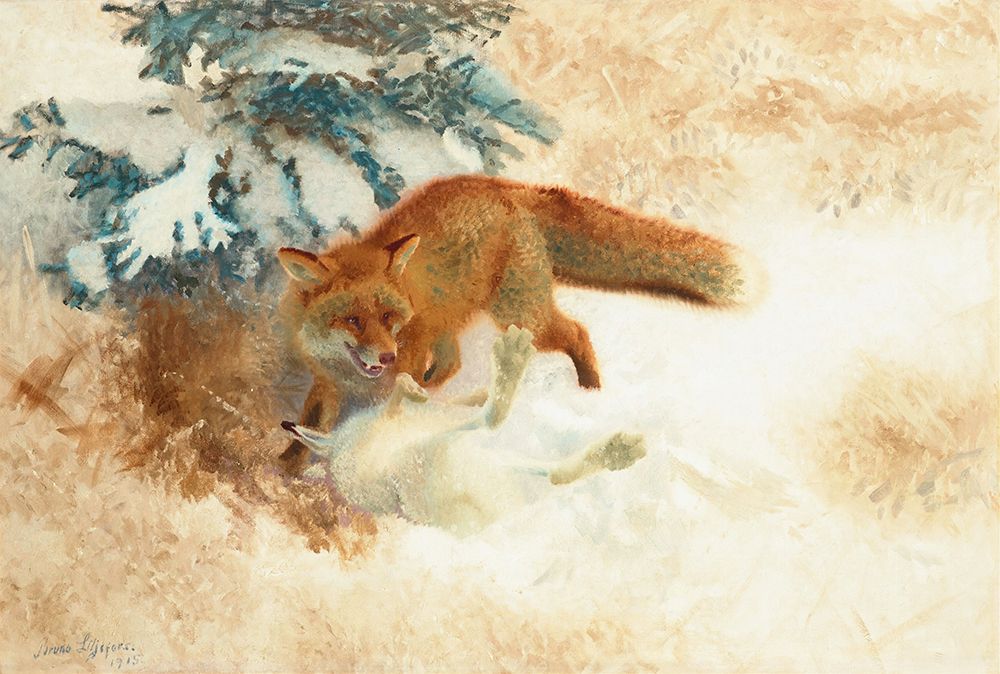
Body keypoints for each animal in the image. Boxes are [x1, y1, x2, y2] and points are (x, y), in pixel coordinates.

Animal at [276, 174, 753, 474]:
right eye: (353, 319)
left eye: (389, 317)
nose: (387, 356)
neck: (350, 373)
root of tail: (507, 186)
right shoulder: (328, 383)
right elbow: (309, 425)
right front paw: (285, 467)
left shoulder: (397, 370)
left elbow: (383, 420)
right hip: (455, 323)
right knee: (451, 364)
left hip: (522, 317)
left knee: (577, 332)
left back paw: (590, 395)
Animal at [282, 326, 647, 535]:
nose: (288, 424)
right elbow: (401, 398)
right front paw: (411, 389)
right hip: (440, 454)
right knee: (492, 421)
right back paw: (511, 357)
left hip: (488, 459)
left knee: (554, 473)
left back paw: (620, 451)